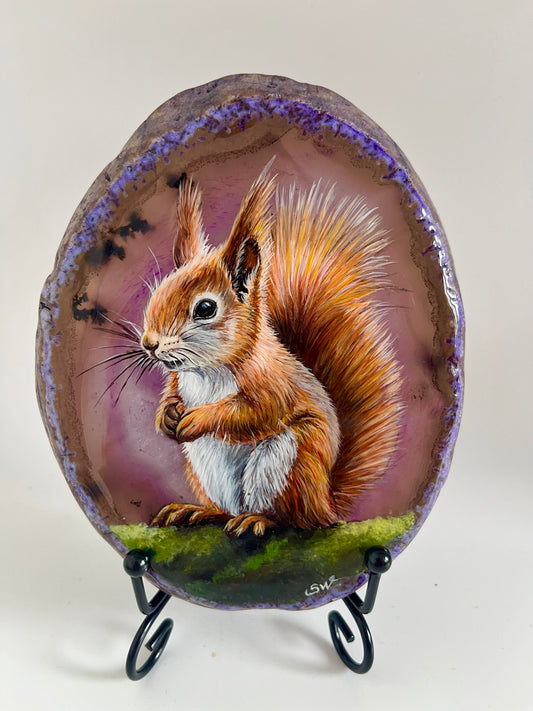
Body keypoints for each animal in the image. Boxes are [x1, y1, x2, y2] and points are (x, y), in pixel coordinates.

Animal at [141, 162, 403, 537]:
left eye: (205, 308)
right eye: (159, 291)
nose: (149, 344)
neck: (205, 370)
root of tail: (327, 502)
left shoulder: (273, 383)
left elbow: (257, 412)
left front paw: (198, 418)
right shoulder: (179, 381)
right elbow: (171, 397)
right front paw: (168, 416)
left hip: (289, 461)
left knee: (296, 520)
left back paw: (259, 519)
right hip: (207, 472)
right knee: (227, 509)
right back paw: (199, 512)